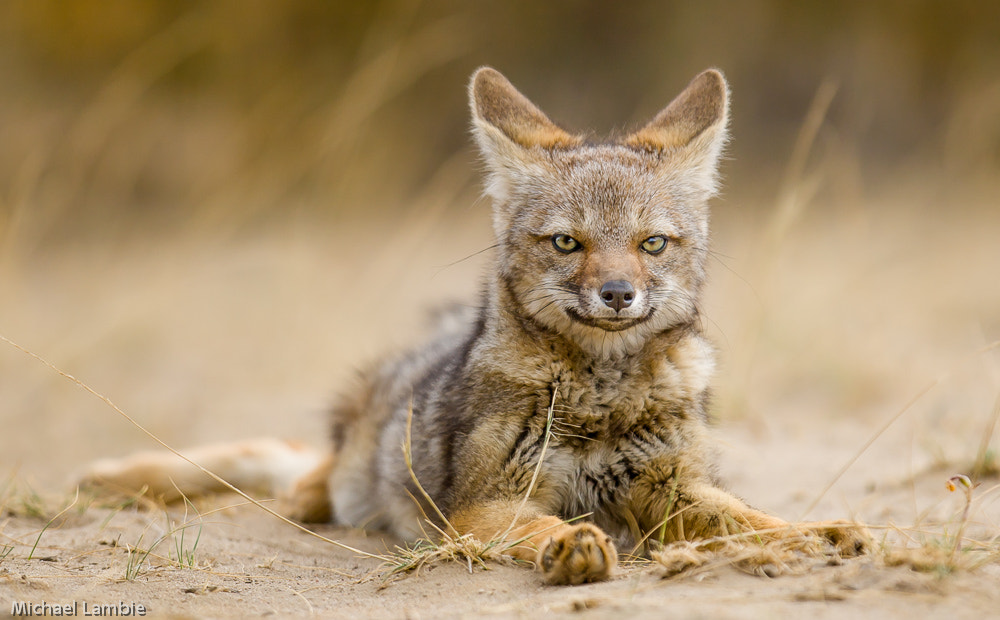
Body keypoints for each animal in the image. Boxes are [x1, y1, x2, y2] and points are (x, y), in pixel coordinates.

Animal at [84, 69, 868, 588]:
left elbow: (754, 519)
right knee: (303, 476)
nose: (617, 294)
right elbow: (552, 524)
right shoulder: (485, 506)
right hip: (350, 474)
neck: (601, 400)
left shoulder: (674, 489)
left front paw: (818, 534)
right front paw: (575, 548)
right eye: (567, 243)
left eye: (652, 245)